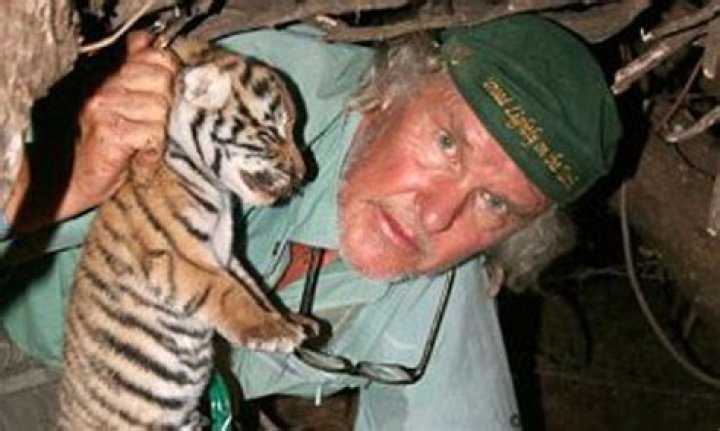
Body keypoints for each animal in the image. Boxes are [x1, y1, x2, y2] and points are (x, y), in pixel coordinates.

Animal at [57, 38, 317, 430]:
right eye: (271, 133)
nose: (304, 174)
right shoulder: (178, 255)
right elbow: (229, 293)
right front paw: (273, 332)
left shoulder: (228, 254)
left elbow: (255, 288)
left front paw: (288, 319)